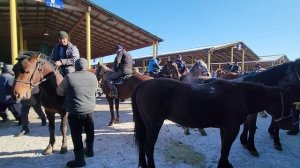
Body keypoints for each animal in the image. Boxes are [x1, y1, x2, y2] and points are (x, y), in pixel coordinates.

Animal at [132, 78, 292, 168]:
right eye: (288, 103)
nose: (289, 125)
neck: (241, 95)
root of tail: (142, 85)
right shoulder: (232, 128)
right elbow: (226, 148)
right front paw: (223, 165)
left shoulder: (225, 128)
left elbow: (224, 148)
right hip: (154, 124)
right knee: (149, 146)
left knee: (142, 143)